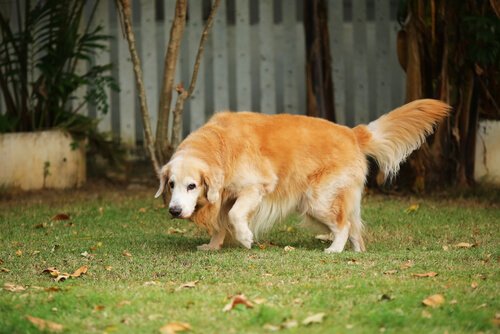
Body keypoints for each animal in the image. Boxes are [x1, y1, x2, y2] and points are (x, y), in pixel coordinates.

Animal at [153, 99, 450, 253]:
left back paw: (335, 250)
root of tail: (353, 132)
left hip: (317, 201)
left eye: (192, 186)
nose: (174, 211)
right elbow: (221, 223)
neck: (220, 145)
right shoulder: (224, 196)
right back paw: (355, 252)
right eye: (171, 185)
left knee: (343, 225)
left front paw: (246, 238)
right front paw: (213, 246)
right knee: (354, 226)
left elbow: (236, 216)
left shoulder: (256, 188)